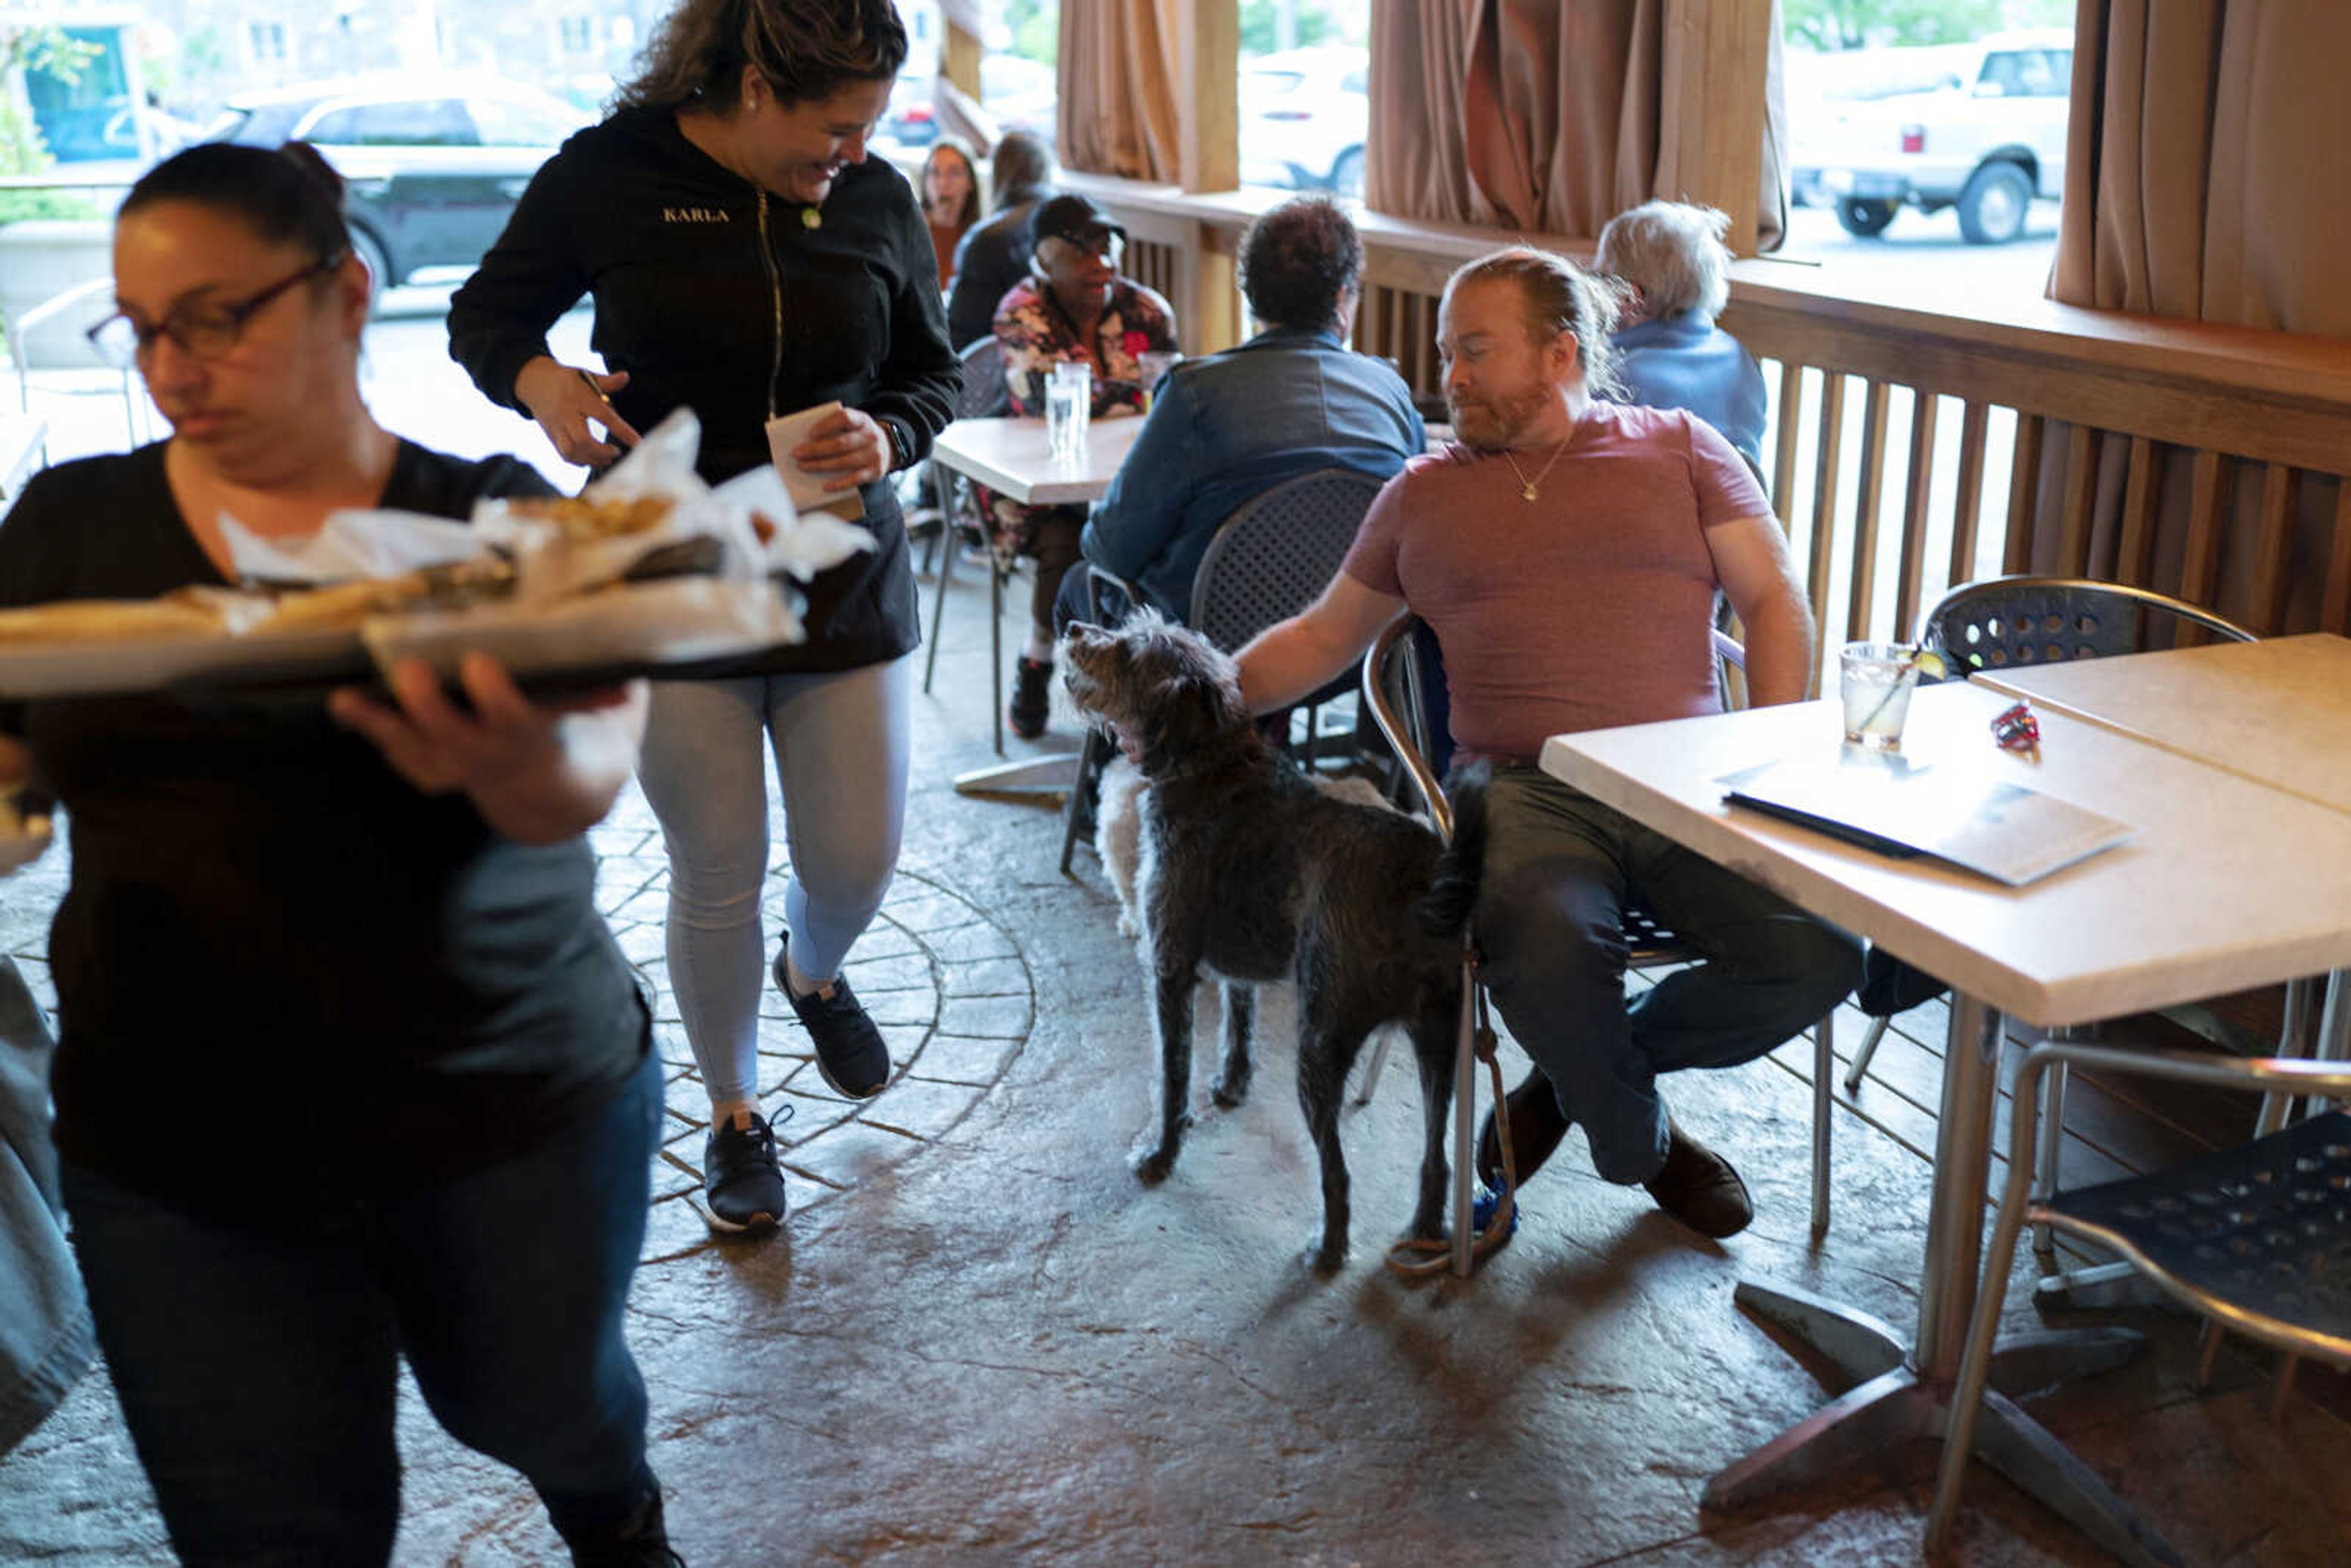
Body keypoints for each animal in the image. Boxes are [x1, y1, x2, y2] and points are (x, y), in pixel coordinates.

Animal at [1067, 611, 1485, 1278]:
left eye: (1132, 650)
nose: (1077, 626)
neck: (1209, 764)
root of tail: (1418, 876)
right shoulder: (1239, 963)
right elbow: (1239, 1022)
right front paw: (1231, 1085)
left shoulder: (1170, 967)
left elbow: (1171, 1074)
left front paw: (1162, 1153)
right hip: (1441, 1043)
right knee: (1437, 1154)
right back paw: (1424, 1230)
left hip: (1319, 1046)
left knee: (1338, 1171)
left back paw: (1328, 1249)